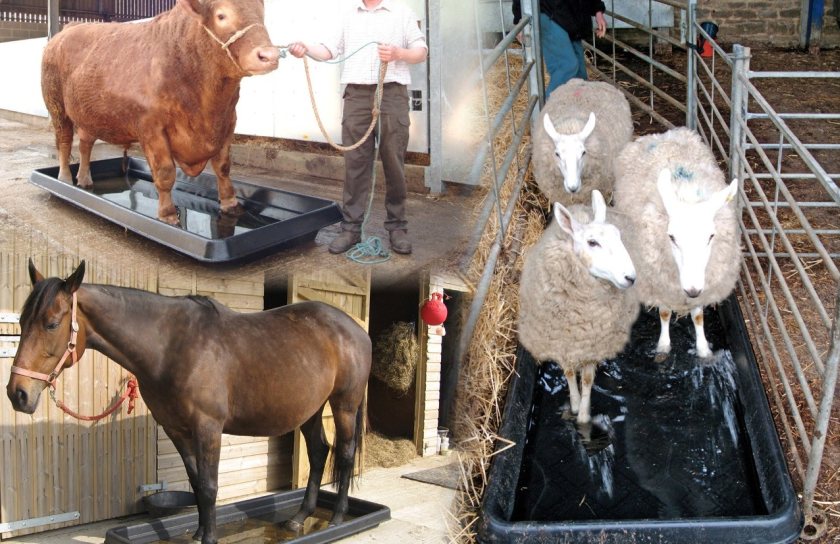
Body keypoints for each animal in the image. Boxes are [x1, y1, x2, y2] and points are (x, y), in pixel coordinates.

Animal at [4, 260, 370, 544]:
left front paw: (209, 537)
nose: (17, 393)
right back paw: (299, 517)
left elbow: (209, 487)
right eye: (21, 321)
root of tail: (355, 329)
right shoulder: (176, 429)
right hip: (311, 409)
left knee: (345, 453)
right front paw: (197, 533)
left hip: (344, 405)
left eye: (51, 323)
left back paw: (338, 518)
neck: (171, 346)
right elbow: (195, 484)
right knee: (320, 452)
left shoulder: (207, 428)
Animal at [41, 0, 278, 223]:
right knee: (64, 142)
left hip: (88, 114)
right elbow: (165, 173)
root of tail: (69, 28)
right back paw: (64, 180)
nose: (269, 55)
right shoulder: (151, 128)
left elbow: (223, 167)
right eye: (221, 15)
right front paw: (168, 214)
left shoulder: (228, 122)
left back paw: (84, 179)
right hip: (57, 107)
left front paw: (230, 204)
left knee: (85, 145)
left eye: (262, 13)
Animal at [520, 191, 636, 424]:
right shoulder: (561, 341)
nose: (630, 277)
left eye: (618, 235)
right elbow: (569, 373)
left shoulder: (592, 344)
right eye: (592, 242)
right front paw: (573, 404)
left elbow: (588, 379)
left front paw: (583, 416)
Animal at [612, 127, 740, 362]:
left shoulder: (703, 288)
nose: (692, 289)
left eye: (711, 236)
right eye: (671, 237)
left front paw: (703, 349)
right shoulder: (659, 285)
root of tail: (663, 135)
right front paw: (663, 346)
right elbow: (664, 313)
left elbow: (698, 316)